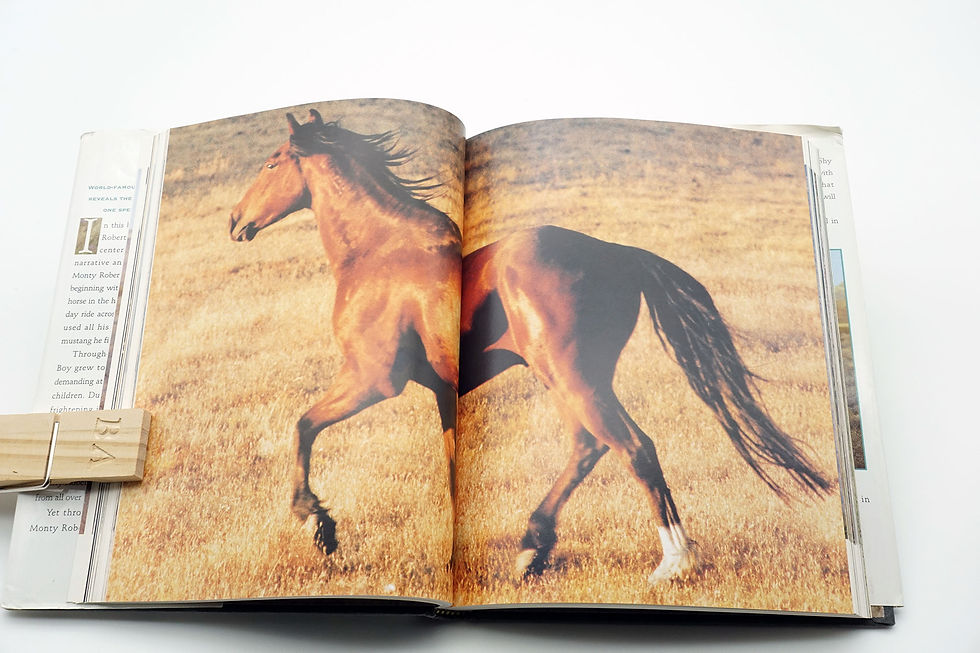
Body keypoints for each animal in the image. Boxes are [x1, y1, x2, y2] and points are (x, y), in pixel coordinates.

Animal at [230, 109, 832, 584]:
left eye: (271, 163)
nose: (236, 221)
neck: (382, 252)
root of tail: (617, 253)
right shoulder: (441, 396)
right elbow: (452, 472)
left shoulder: (372, 379)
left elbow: (303, 425)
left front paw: (318, 524)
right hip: (568, 378)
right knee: (590, 447)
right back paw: (532, 549)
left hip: (570, 376)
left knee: (633, 447)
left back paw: (673, 563)